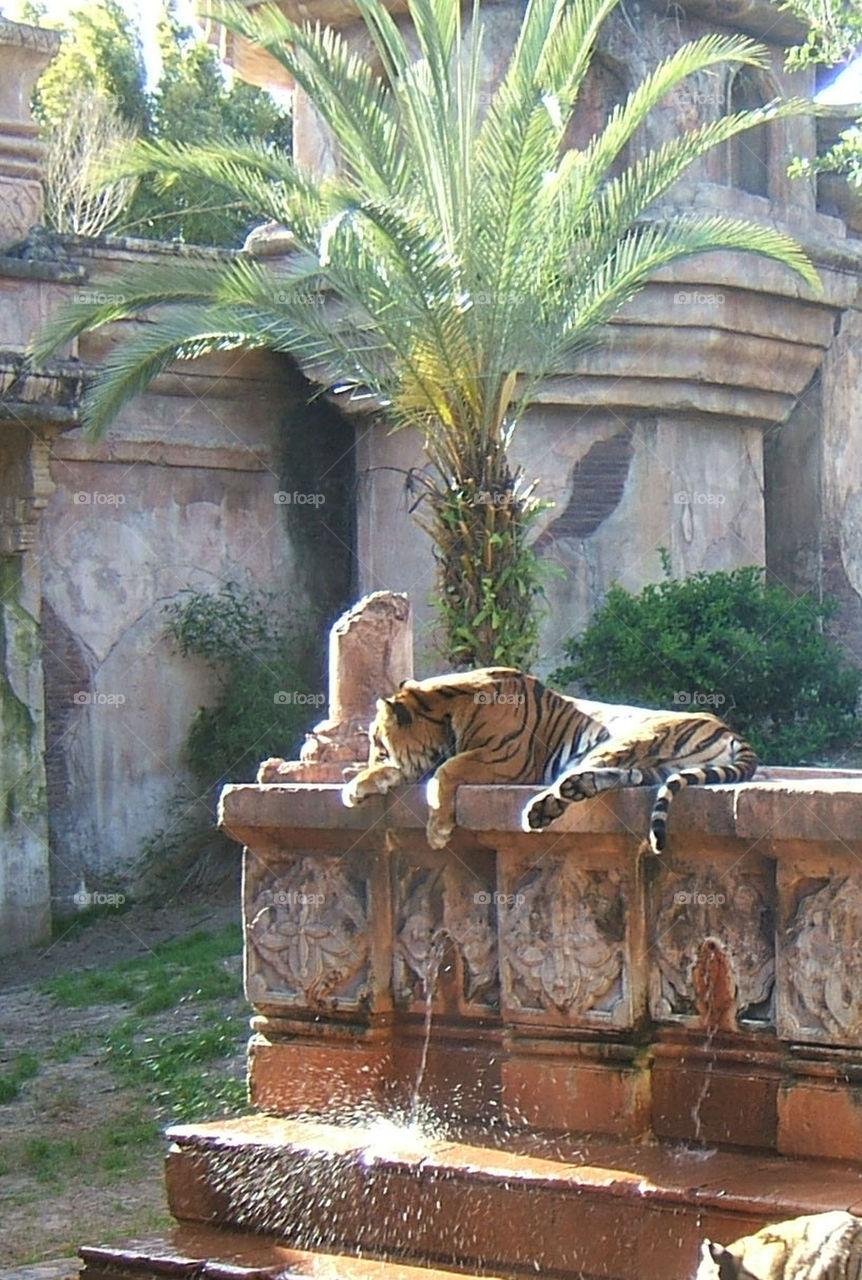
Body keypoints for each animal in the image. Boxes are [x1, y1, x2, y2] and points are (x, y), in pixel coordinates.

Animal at [341, 667, 757, 852]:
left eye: (377, 740)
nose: (369, 752)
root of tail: (732, 731)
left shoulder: (506, 759)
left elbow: (444, 771)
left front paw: (438, 830)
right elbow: (393, 771)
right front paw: (353, 785)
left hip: (628, 736)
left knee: (595, 771)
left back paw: (543, 807)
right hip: (657, 765)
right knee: (624, 777)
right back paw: (556, 802)